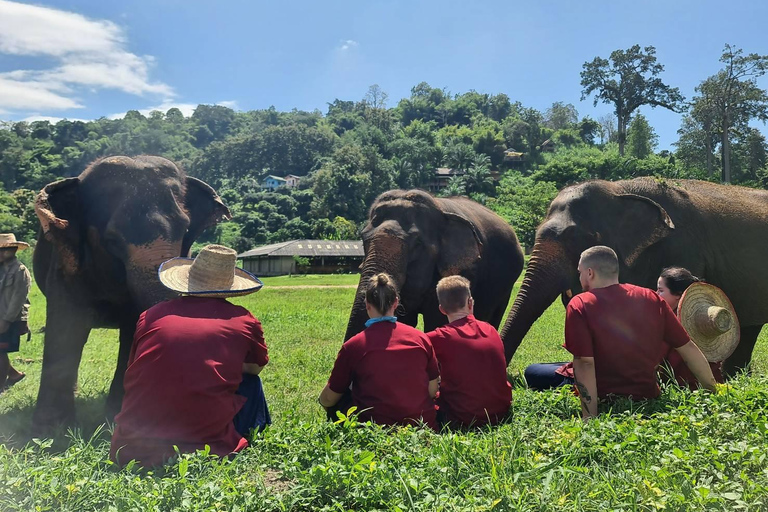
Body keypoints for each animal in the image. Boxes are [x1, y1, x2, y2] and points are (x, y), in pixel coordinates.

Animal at [33, 155, 230, 427]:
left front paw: (120, 417)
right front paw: (50, 429)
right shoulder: (65, 262)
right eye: (112, 241)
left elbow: (132, 329)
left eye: (184, 230)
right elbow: (67, 327)